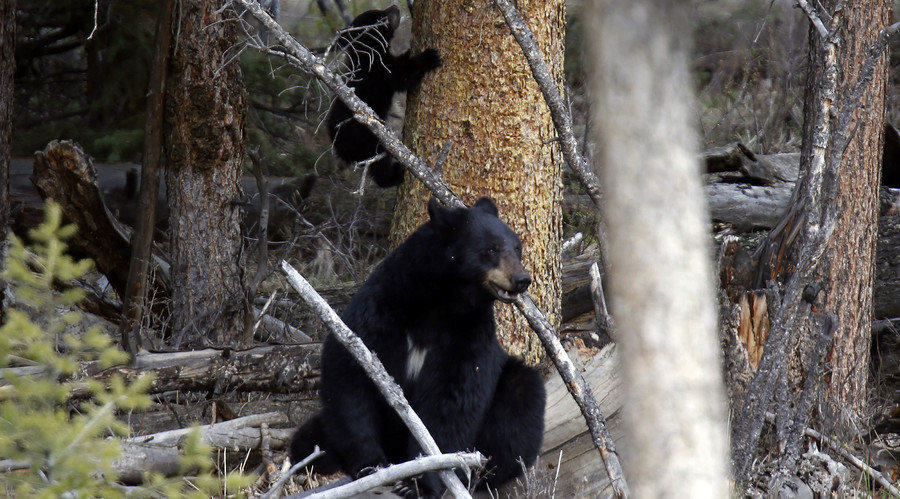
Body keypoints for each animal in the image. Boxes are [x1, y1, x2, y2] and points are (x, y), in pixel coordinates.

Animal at [290, 197, 546, 498]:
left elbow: (452, 400)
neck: (439, 302)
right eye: (491, 249)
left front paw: (419, 482)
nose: (522, 279)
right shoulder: (380, 312)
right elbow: (350, 375)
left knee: (522, 399)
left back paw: (482, 471)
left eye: (517, 248)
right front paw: (371, 465)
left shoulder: (468, 335)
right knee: (308, 438)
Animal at [326, 6, 441, 188]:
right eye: (380, 16)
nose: (394, 7)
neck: (367, 54)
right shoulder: (381, 71)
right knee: (379, 166)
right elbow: (401, 75)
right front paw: (429, 56)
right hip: (367, 139)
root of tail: (339, 147)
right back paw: (396, 174)